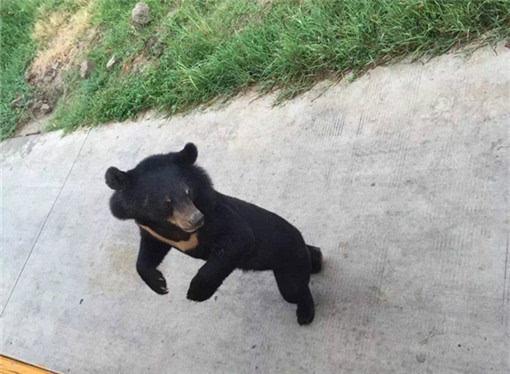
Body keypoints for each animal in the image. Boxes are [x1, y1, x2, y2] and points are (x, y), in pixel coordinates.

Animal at [104, 143, 322, 324]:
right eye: (166, 203)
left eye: (188, 191)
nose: (196, 219)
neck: (172, 227)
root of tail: (300, 242)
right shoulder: (152, 231)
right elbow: (148, 254)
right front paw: (159, 284)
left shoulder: (213, 211)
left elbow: (239, 237)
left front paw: (196, 292)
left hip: (289, 260)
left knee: (294, 289)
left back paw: (305, 313)